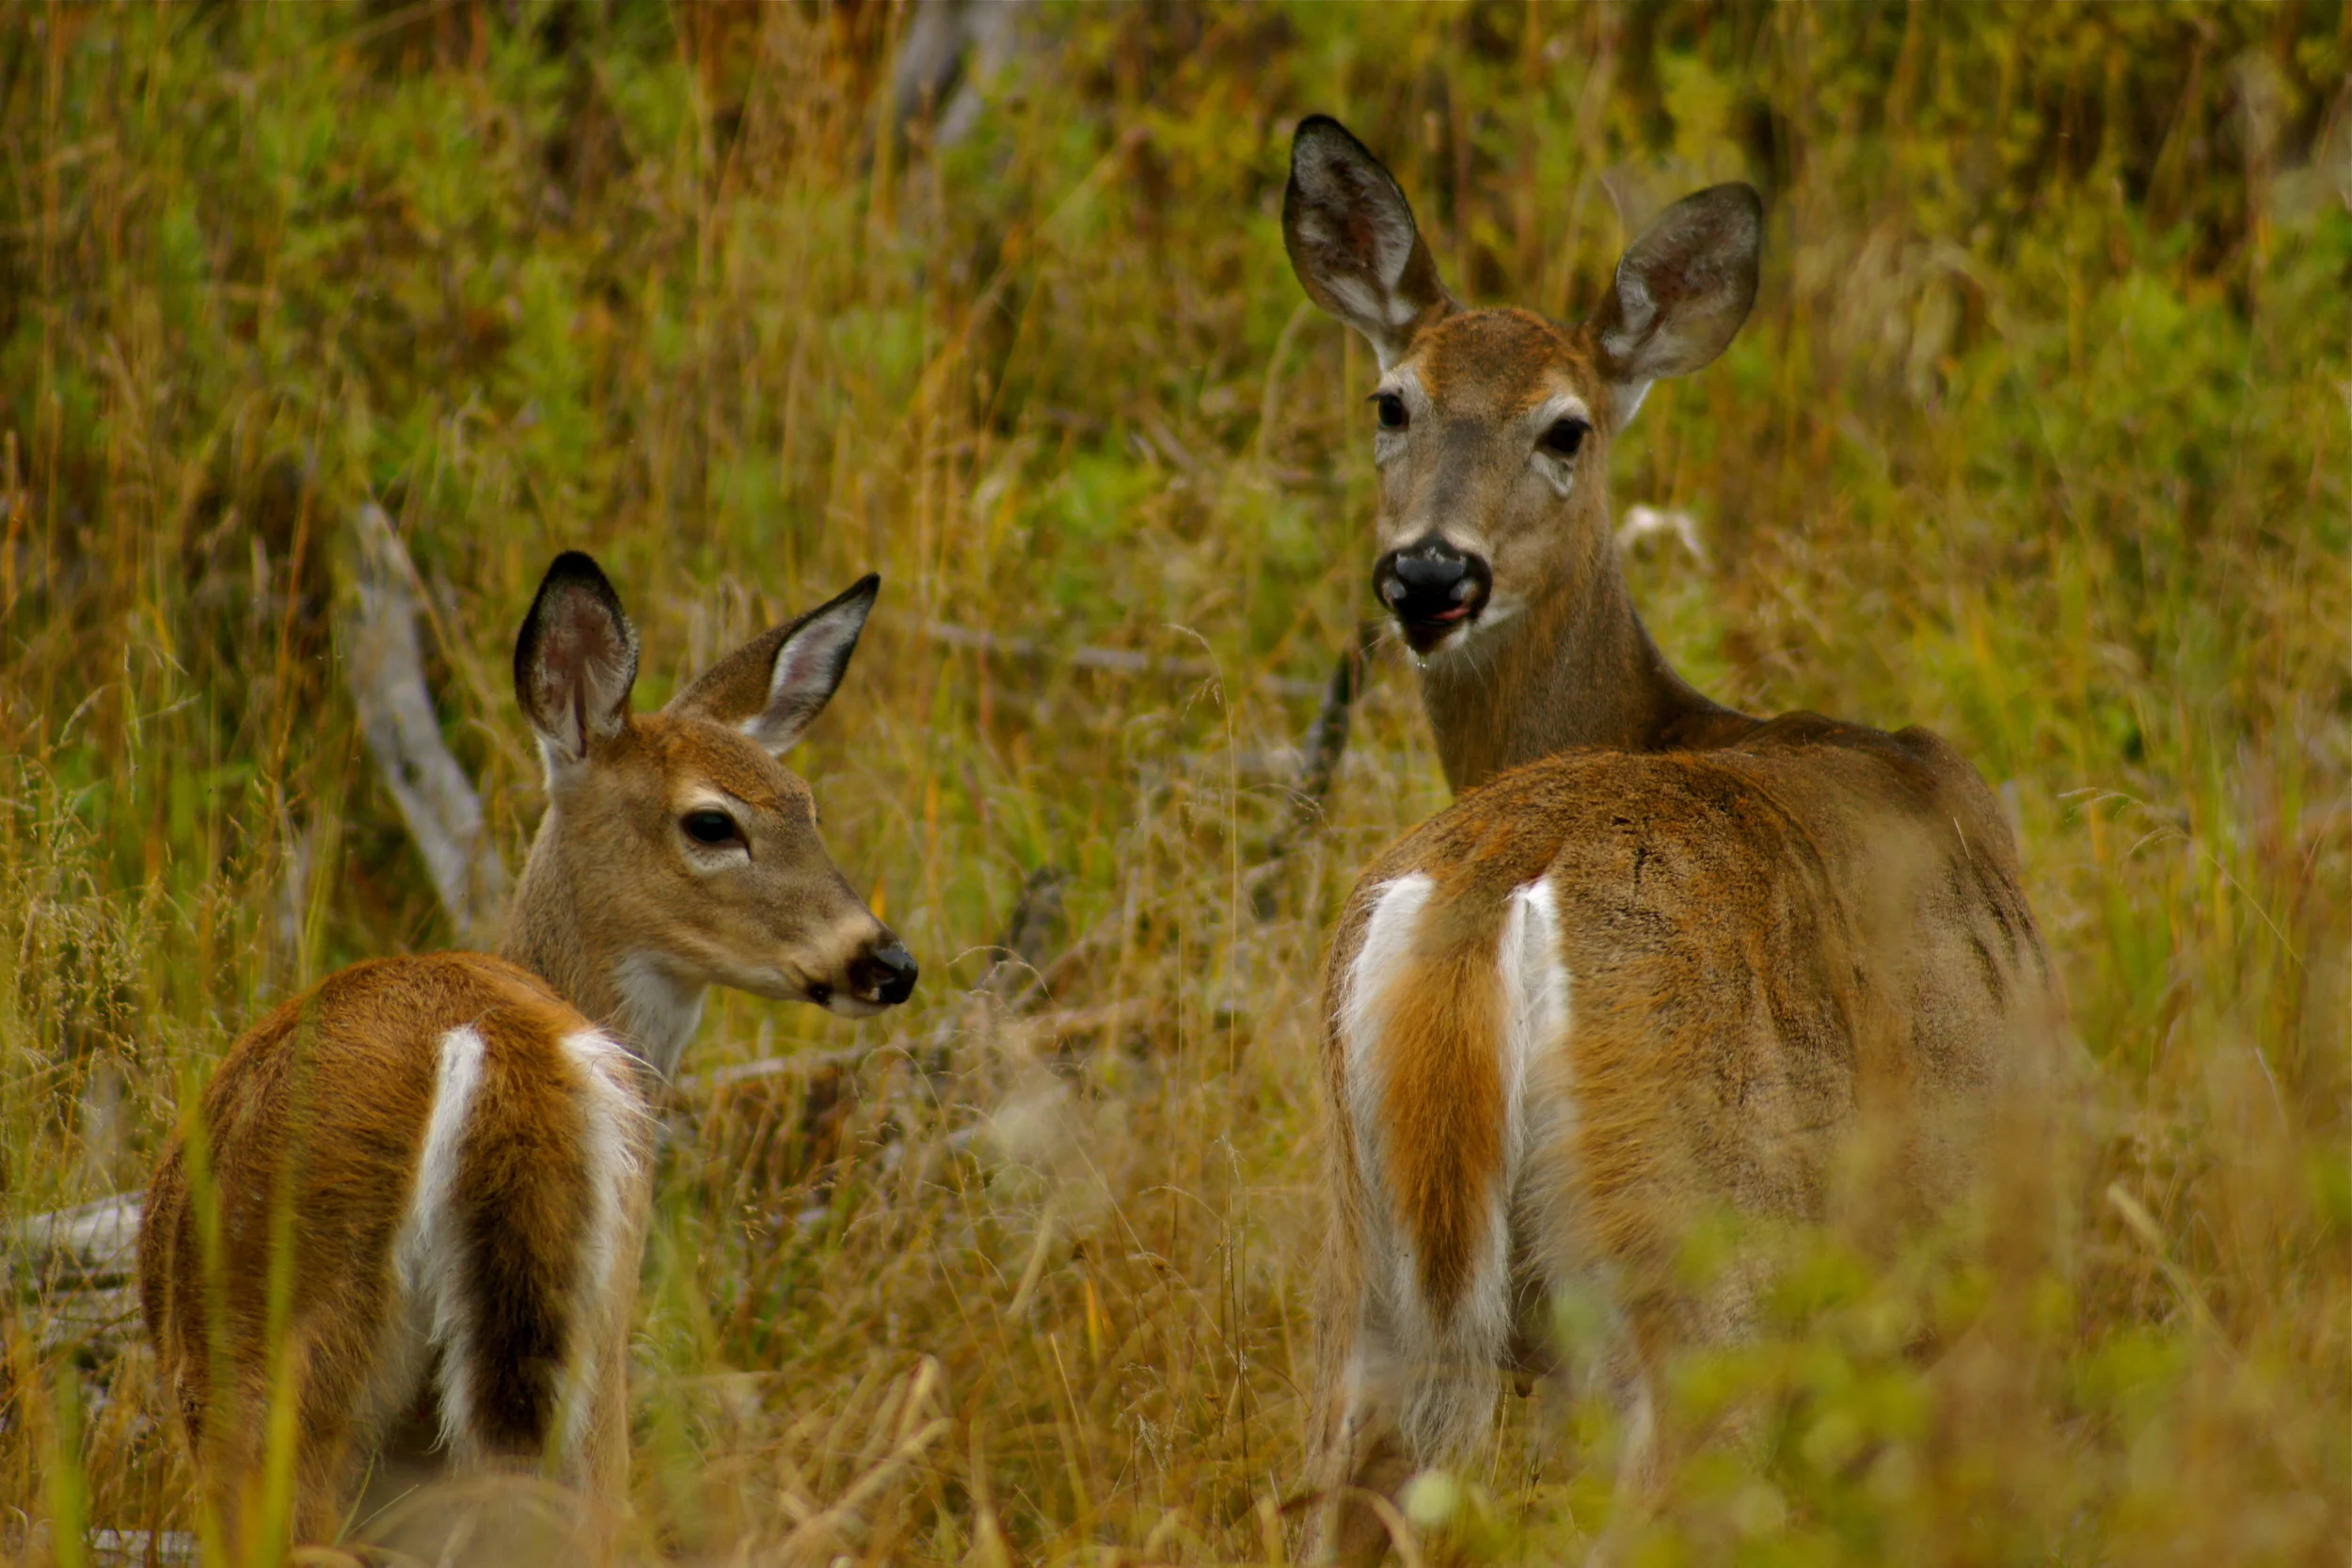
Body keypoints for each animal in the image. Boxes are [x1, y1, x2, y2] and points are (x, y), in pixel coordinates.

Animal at [138, 551, 919, 1554]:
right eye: (712, 821)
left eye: (807, 808)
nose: (886, 961)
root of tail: (495, 1051)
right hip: (589, 1367)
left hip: (285, 1371)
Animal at [1280, 115, 2062, 1561]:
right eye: (1391, 402)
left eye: (1565, 425)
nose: (1430, 574)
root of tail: (1484, 896)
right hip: (1692, 1245)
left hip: (1375, 1280)